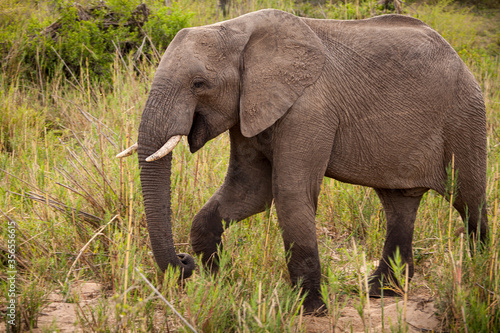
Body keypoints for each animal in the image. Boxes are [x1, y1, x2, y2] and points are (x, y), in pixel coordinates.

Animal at [115, 8, 486, 314]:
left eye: (198, 83)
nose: (183, 261)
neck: (237, 32)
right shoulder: (250, 107)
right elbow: (248, 193)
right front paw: (220, 286)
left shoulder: (310, 108)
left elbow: (290, 195)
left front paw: (309, 311)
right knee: (399, 204)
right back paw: (382, 291)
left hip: (464, 115)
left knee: (469, 200)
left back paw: (477, 275)